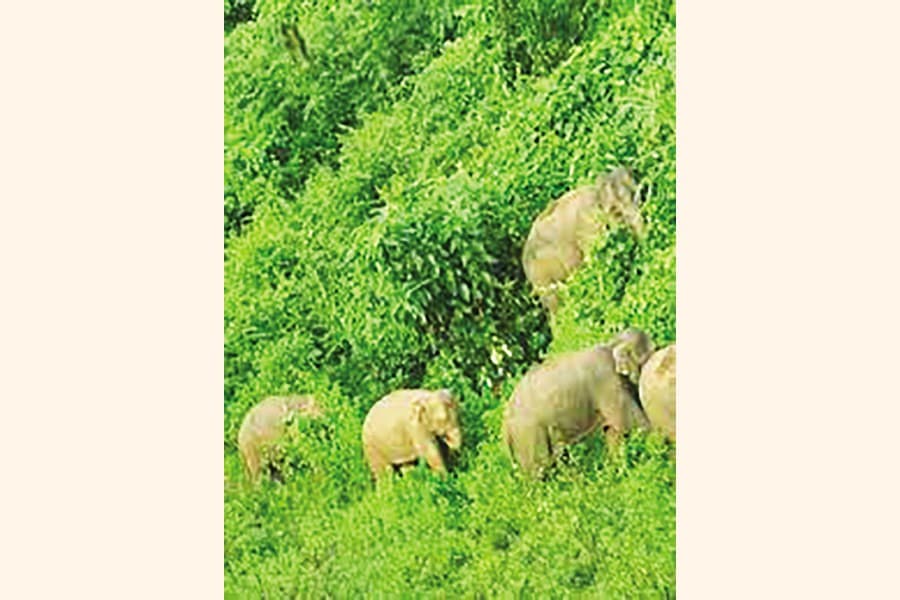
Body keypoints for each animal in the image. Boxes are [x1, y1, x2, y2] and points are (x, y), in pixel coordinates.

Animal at [503, 329, 653, 478]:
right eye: (645, 359)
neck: (610, 345)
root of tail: (505, 425)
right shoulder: (607, 383)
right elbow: (632, 424)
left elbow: (612, 431)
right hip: (528, 434)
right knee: (540, 469)